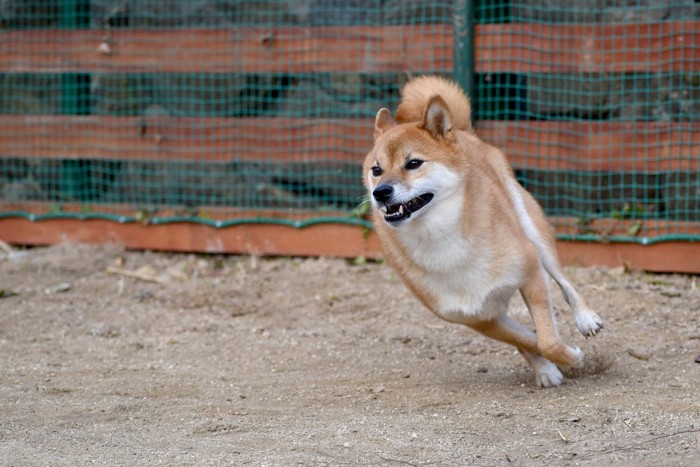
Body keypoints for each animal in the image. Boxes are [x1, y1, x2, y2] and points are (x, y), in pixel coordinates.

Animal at [364, 76, 604, 388]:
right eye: (376, 170)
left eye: (413, 163)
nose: (380, 193)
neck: (442, 239)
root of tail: (464, 133)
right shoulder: (479, 317)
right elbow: (530, 340)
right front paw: (559, 360)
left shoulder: (530, 270)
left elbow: (547, 340)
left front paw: (571, 354)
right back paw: (544, 370)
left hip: (532, 230)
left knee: (564, 281)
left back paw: (586, 317)